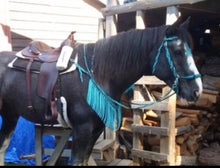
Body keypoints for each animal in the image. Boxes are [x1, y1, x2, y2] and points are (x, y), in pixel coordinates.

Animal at [0, 17, 203, 165]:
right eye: (178, 51)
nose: (197, 90)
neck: (98, 74)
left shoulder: (95, 131)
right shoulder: (81, 131)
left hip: (10, 115)